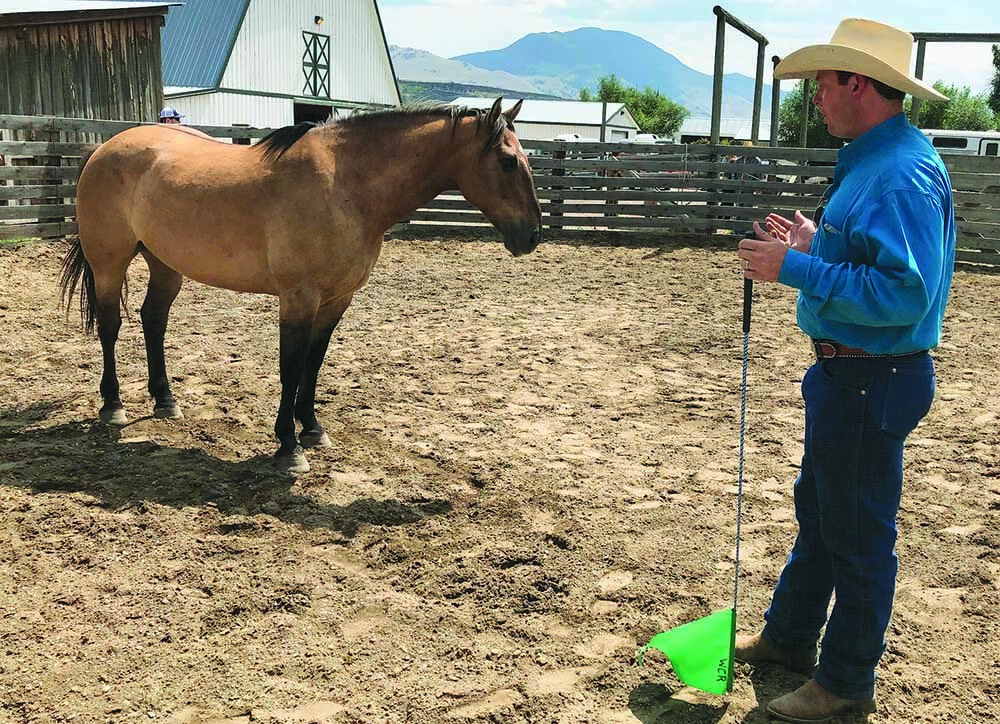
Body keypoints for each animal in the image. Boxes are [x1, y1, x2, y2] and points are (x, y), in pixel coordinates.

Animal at [60, 98, 542, 475]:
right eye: (506, 161)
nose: (532, 235)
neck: (346, 185)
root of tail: (104, 148)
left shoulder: (336, 299)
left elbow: (314, 361)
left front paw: (311, 428)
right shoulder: (298, 298)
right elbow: (291, 366)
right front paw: (288, 448)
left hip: (164, 262)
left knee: (153, 320)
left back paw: (165, 400)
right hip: (109, 262)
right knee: (110, 326)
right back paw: (113, 406)